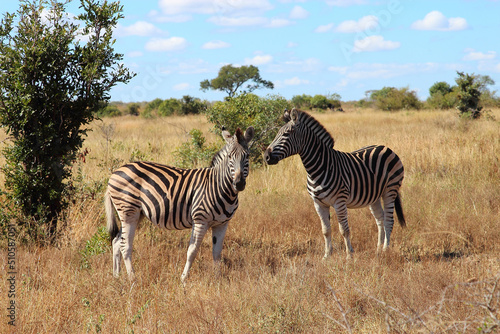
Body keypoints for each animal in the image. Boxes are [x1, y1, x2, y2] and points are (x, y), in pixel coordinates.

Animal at [105, 126, 254, 284]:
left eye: (247, 156)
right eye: (230, 157)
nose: (239, 184)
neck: (220, 187)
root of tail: (115, 172)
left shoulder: (222, 223)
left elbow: (217, 252)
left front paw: (217, 279)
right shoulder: (200, 220)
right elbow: (192, 251)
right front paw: (183, 279)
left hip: (136, 214)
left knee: (116, 242)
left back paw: (116, 276)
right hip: (128, 211)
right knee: (125, 245)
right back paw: (132, 278)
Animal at [264, 108, 404, 258]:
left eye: (286, 134)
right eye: (277, 133)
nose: (266, 156)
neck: (318, 168)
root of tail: (385, 147)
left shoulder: (339, 202)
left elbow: (344, 230)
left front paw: (349, 255)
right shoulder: (318, 203)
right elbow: (326, 230)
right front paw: (327, 255)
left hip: (390, 189)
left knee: (389, 219)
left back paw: (385, 249)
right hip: (374, 195)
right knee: (380, 219)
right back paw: (378, 249)